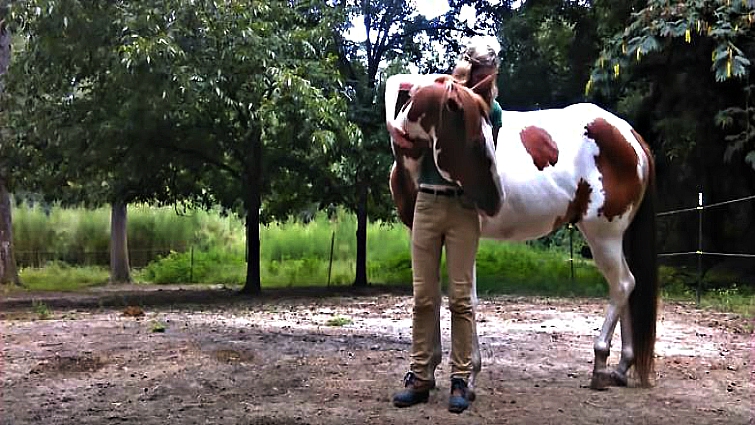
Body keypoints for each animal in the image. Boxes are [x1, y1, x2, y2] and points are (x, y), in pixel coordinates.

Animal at [385, 73, 658, 391]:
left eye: (488, 138)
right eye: (477, 141)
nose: (494, 200)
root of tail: (631, 136)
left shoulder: (465, 238)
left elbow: (466, 300)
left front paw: (469, 374)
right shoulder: (422, 233)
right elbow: (436, 295)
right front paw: (429, 370)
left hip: (604, 236)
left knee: (623, 285)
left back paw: (600, 361)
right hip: (615, 238)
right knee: (627, 288)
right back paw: (622, 367)